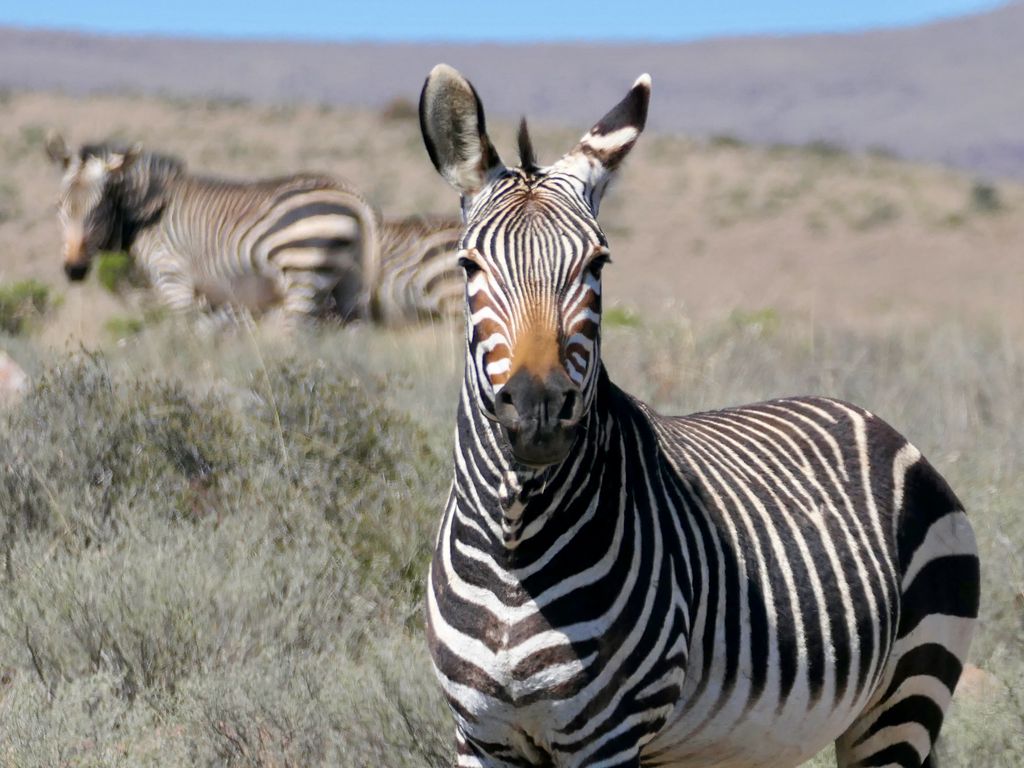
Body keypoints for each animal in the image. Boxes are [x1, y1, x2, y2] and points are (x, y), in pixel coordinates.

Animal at [45, 134, 380, 323]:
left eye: (100, 208)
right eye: (59, 206)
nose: (73, 270)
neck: (146, 216)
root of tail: (354, 196)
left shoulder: (173, 281)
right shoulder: (211, 296)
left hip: (303, 274)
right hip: (349, 288)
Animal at [419, 64, 979, 768]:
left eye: (598, 263)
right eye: (468, 266)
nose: (539, 407)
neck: (513, 545)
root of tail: (876, 420)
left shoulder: (608, 737)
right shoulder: (479, 735)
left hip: (907, 697)